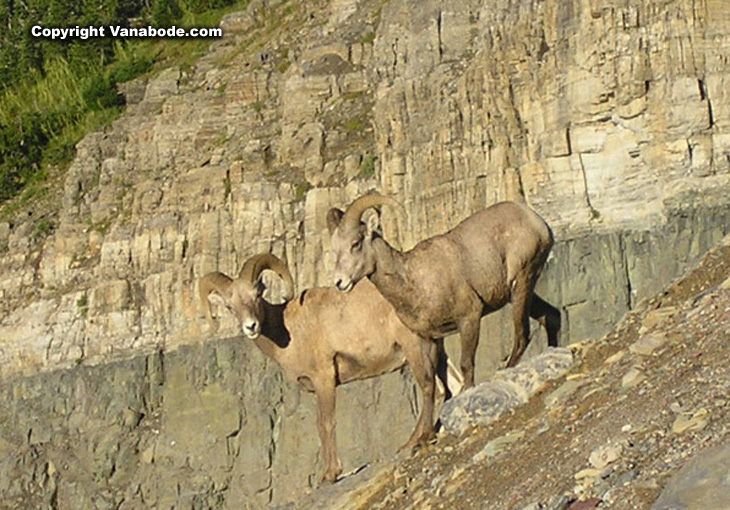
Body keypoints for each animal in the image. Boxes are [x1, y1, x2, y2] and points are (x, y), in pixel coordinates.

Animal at [196, 253, 452, 484]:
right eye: (230, 306)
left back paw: (414, 441)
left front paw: (330, 474)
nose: (251, 326)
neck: (289, 330)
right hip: (435, 351)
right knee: (445, 389)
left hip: (415, 347)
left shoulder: (324, 380)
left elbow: (325, 424)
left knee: (429, 388)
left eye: (257, 295)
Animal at [328, 194, 560, 386]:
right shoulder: (428, 338)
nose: (339, 282)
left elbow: (466, 364)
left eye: (356, 243)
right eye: (335, 249)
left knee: (522, 335)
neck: (413, 281)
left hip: (521, 284)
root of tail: (533, 218)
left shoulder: (469, 318)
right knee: (550, 316)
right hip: (520, 292)